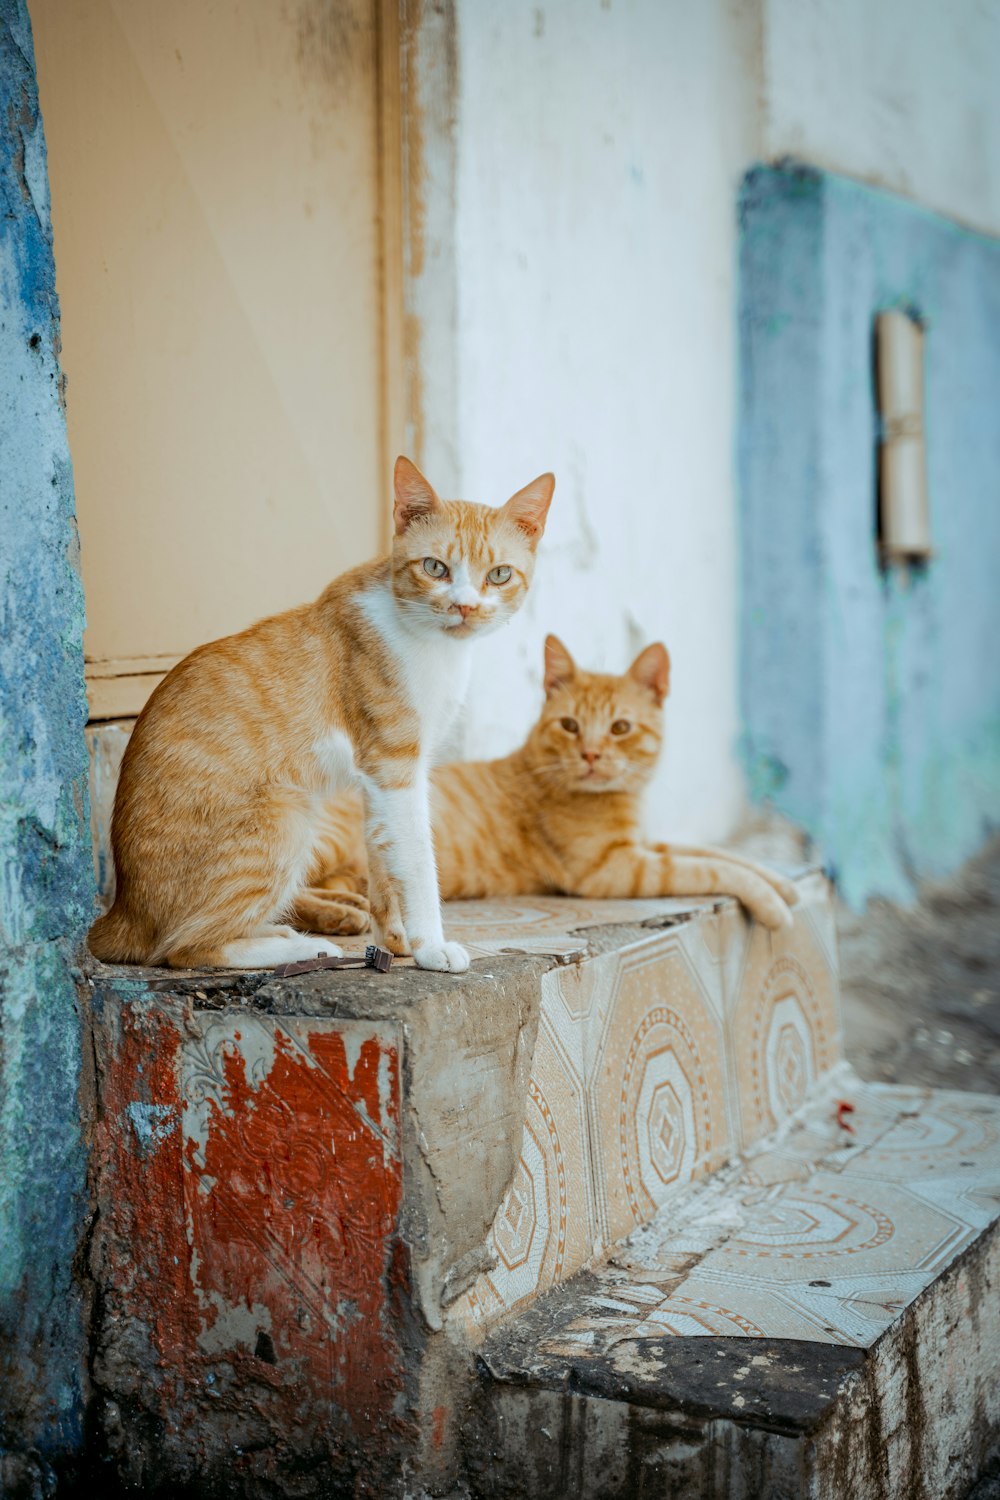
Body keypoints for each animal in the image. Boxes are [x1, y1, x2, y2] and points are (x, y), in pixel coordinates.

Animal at [86, 456, 554, 972]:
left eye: (500, 575)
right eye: (435, 567)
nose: (465, 607)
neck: (432, 642)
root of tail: (122, 913)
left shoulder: (378, 778)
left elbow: (381, 855)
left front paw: (394, 941)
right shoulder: (396, 766)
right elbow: (416, 860)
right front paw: (432, 945)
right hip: (286, 812)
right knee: (186, 947)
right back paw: (304, 946)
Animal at [305, 627, 797, 930]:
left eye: (621, 727)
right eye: (570, 725)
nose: (591, 754)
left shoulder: (644, 843)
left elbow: (716, 852)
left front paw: (783, 884)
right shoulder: (613, 868)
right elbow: (709, 867)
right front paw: (771, 904)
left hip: (347, 871)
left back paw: (348, 908)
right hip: (327, 842)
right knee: (283, 902)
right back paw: (339, 918)